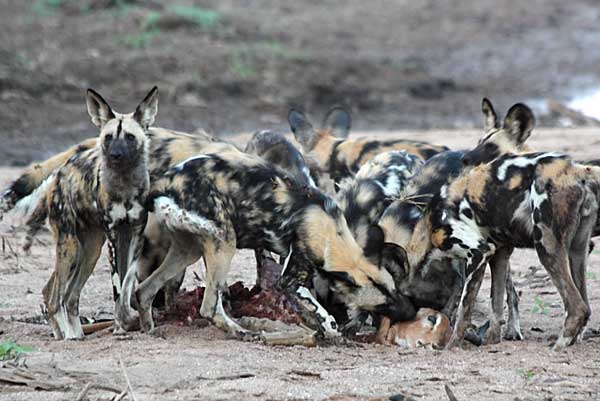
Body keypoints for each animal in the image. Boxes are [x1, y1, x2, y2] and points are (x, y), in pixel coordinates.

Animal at [42, 87, 158, 338]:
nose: (115, 155)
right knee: (57, 297)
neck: (124, 185)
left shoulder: (134, 236)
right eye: (108, 137)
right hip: (71, 248)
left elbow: (127, 281)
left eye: (130, 137)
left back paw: (73, 334)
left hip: (90, 252)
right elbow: (117, 286)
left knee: (68, 296)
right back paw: (69, 337)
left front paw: (129, 318)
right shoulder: (114, 238)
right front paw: (120, 328)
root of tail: (59, 173)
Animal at [133, 150, 414, 338]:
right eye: (383, 304)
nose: (411, 313)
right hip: (224, 241)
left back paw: (149, 329)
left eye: (394, 291)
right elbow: (327, 317)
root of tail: (165, 181)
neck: (330, 232)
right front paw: (331, 332)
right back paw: (242, 332)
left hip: (188, 249)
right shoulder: (290, 280)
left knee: (144, 291)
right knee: (209, 307)